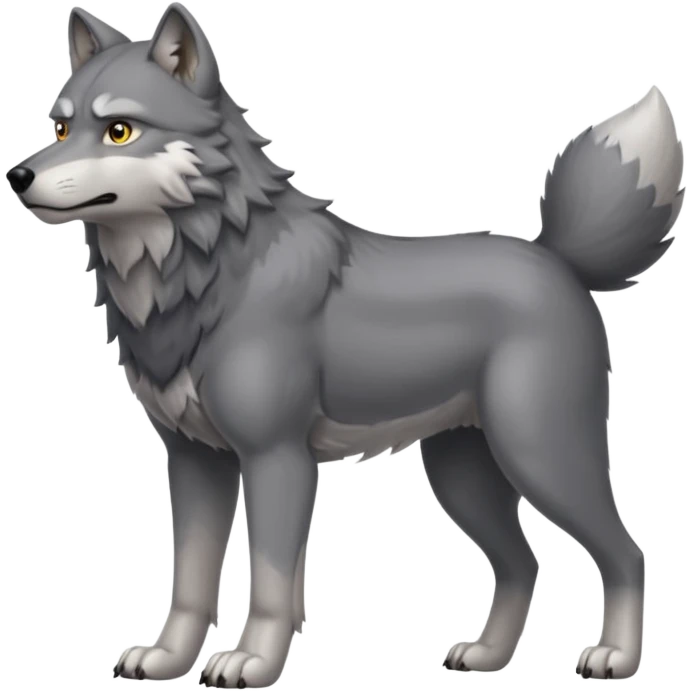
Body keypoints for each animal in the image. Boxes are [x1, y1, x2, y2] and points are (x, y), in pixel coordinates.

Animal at [5, 3, 684, 687]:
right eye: (61, 127)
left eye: (119, 131)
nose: (18, 175)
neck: (208, 271)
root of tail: (555, 257)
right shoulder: (194, 460)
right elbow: (190, 582)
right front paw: (169, 658)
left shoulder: (276, 458)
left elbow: (273, 582)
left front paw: (252, 660)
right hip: (463, 475)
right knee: (523, 563)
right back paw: (487, 656)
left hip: (541, 455)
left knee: (627, 553)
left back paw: (616, 657)